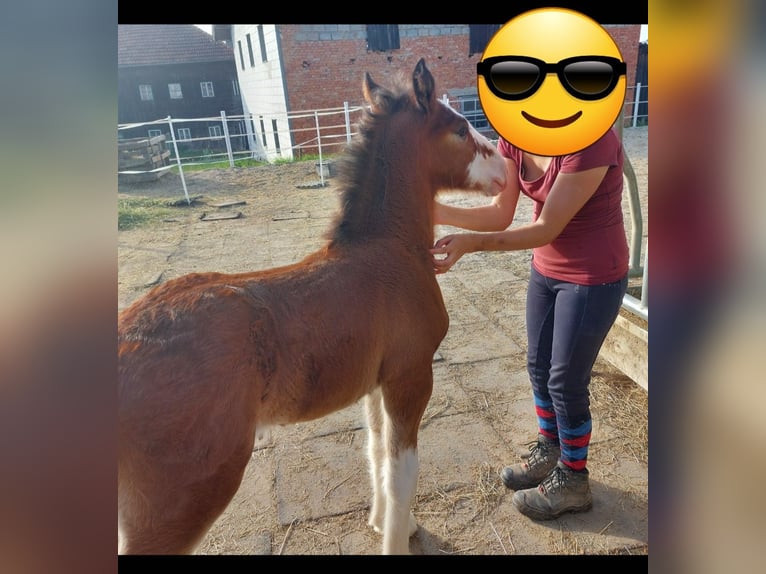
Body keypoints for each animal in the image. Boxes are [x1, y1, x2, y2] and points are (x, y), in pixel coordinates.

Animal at [118, 59, 510, 560]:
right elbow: (402, 472)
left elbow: (376, 452)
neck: (390, 252)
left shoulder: (376, 382)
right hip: (182, 498)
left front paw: (386, 523)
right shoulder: (411, 375)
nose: (505, 170)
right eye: (461, 129)